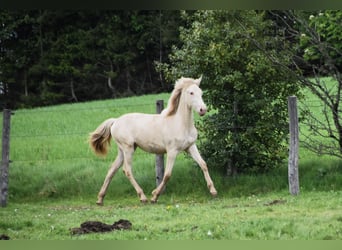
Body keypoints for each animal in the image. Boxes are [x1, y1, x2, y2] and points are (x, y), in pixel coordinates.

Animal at [89, 76, 218, 205]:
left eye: (201, 92)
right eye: (191, 92)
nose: (203, 110)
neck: (180, 124)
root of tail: (115, 121)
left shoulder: (190, 147)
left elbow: (203, 164)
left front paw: (213, 191)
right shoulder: (172, 151)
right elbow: (167, 175)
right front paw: (154, 196)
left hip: (123, 150)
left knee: (112, 170)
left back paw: (100, 199)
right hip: (128, 148)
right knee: (127, 170)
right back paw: (143, 197)